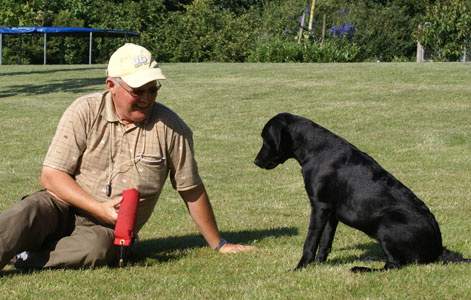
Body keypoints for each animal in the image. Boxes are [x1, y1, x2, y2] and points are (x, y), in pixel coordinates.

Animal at [254, 112, 468, 272]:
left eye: (265, 139)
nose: (255, 161)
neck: (315, 149)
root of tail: (438, 249)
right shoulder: (331, 212)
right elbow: (325, 242)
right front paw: (318, 264)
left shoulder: (319, 206)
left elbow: (310, 241)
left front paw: (301, 267)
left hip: (387, 223)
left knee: (393, 265)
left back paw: (361, 268)